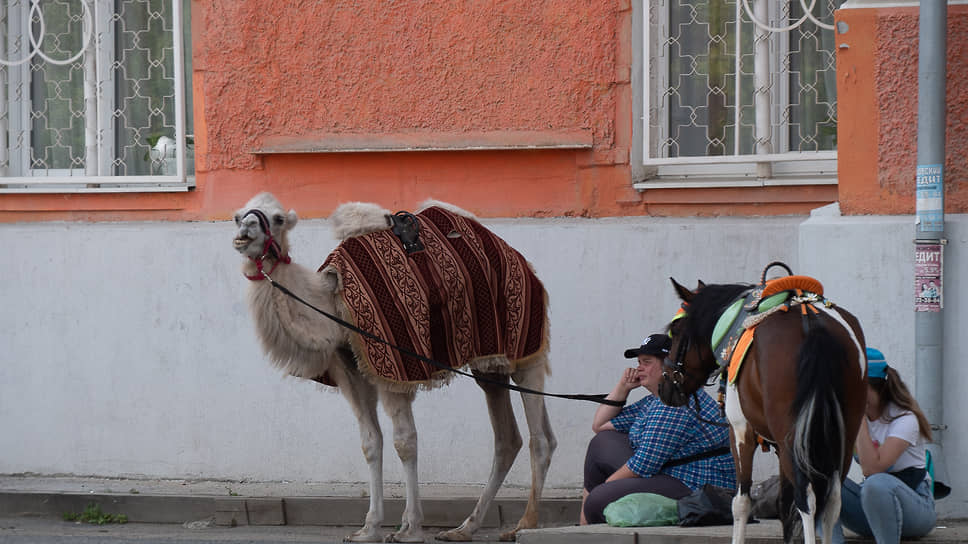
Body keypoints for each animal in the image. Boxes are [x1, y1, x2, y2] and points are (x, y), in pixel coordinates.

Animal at [230, 193, 556, 540]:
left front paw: (409, 528)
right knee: (508, 437)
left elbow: (405, 441)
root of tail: (523, 263)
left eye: (277, 218)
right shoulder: (352, 371)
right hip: (490, 365)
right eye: (238, 215)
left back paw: (524, 524)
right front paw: (368, 528)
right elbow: (370, 443)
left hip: (525, 344)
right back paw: (464, 528)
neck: (333, 306)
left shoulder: (393, 369)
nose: (245, 232)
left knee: (539, 438)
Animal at [660, 262, 864, 540]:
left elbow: (741, 503)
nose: (664, 385)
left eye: (676, 332)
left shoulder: (740, 433)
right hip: (841, 440)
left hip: (795, 440)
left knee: (807, 500)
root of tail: (812, 324)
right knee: (832, 503)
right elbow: (785, 506)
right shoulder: (780, 447)